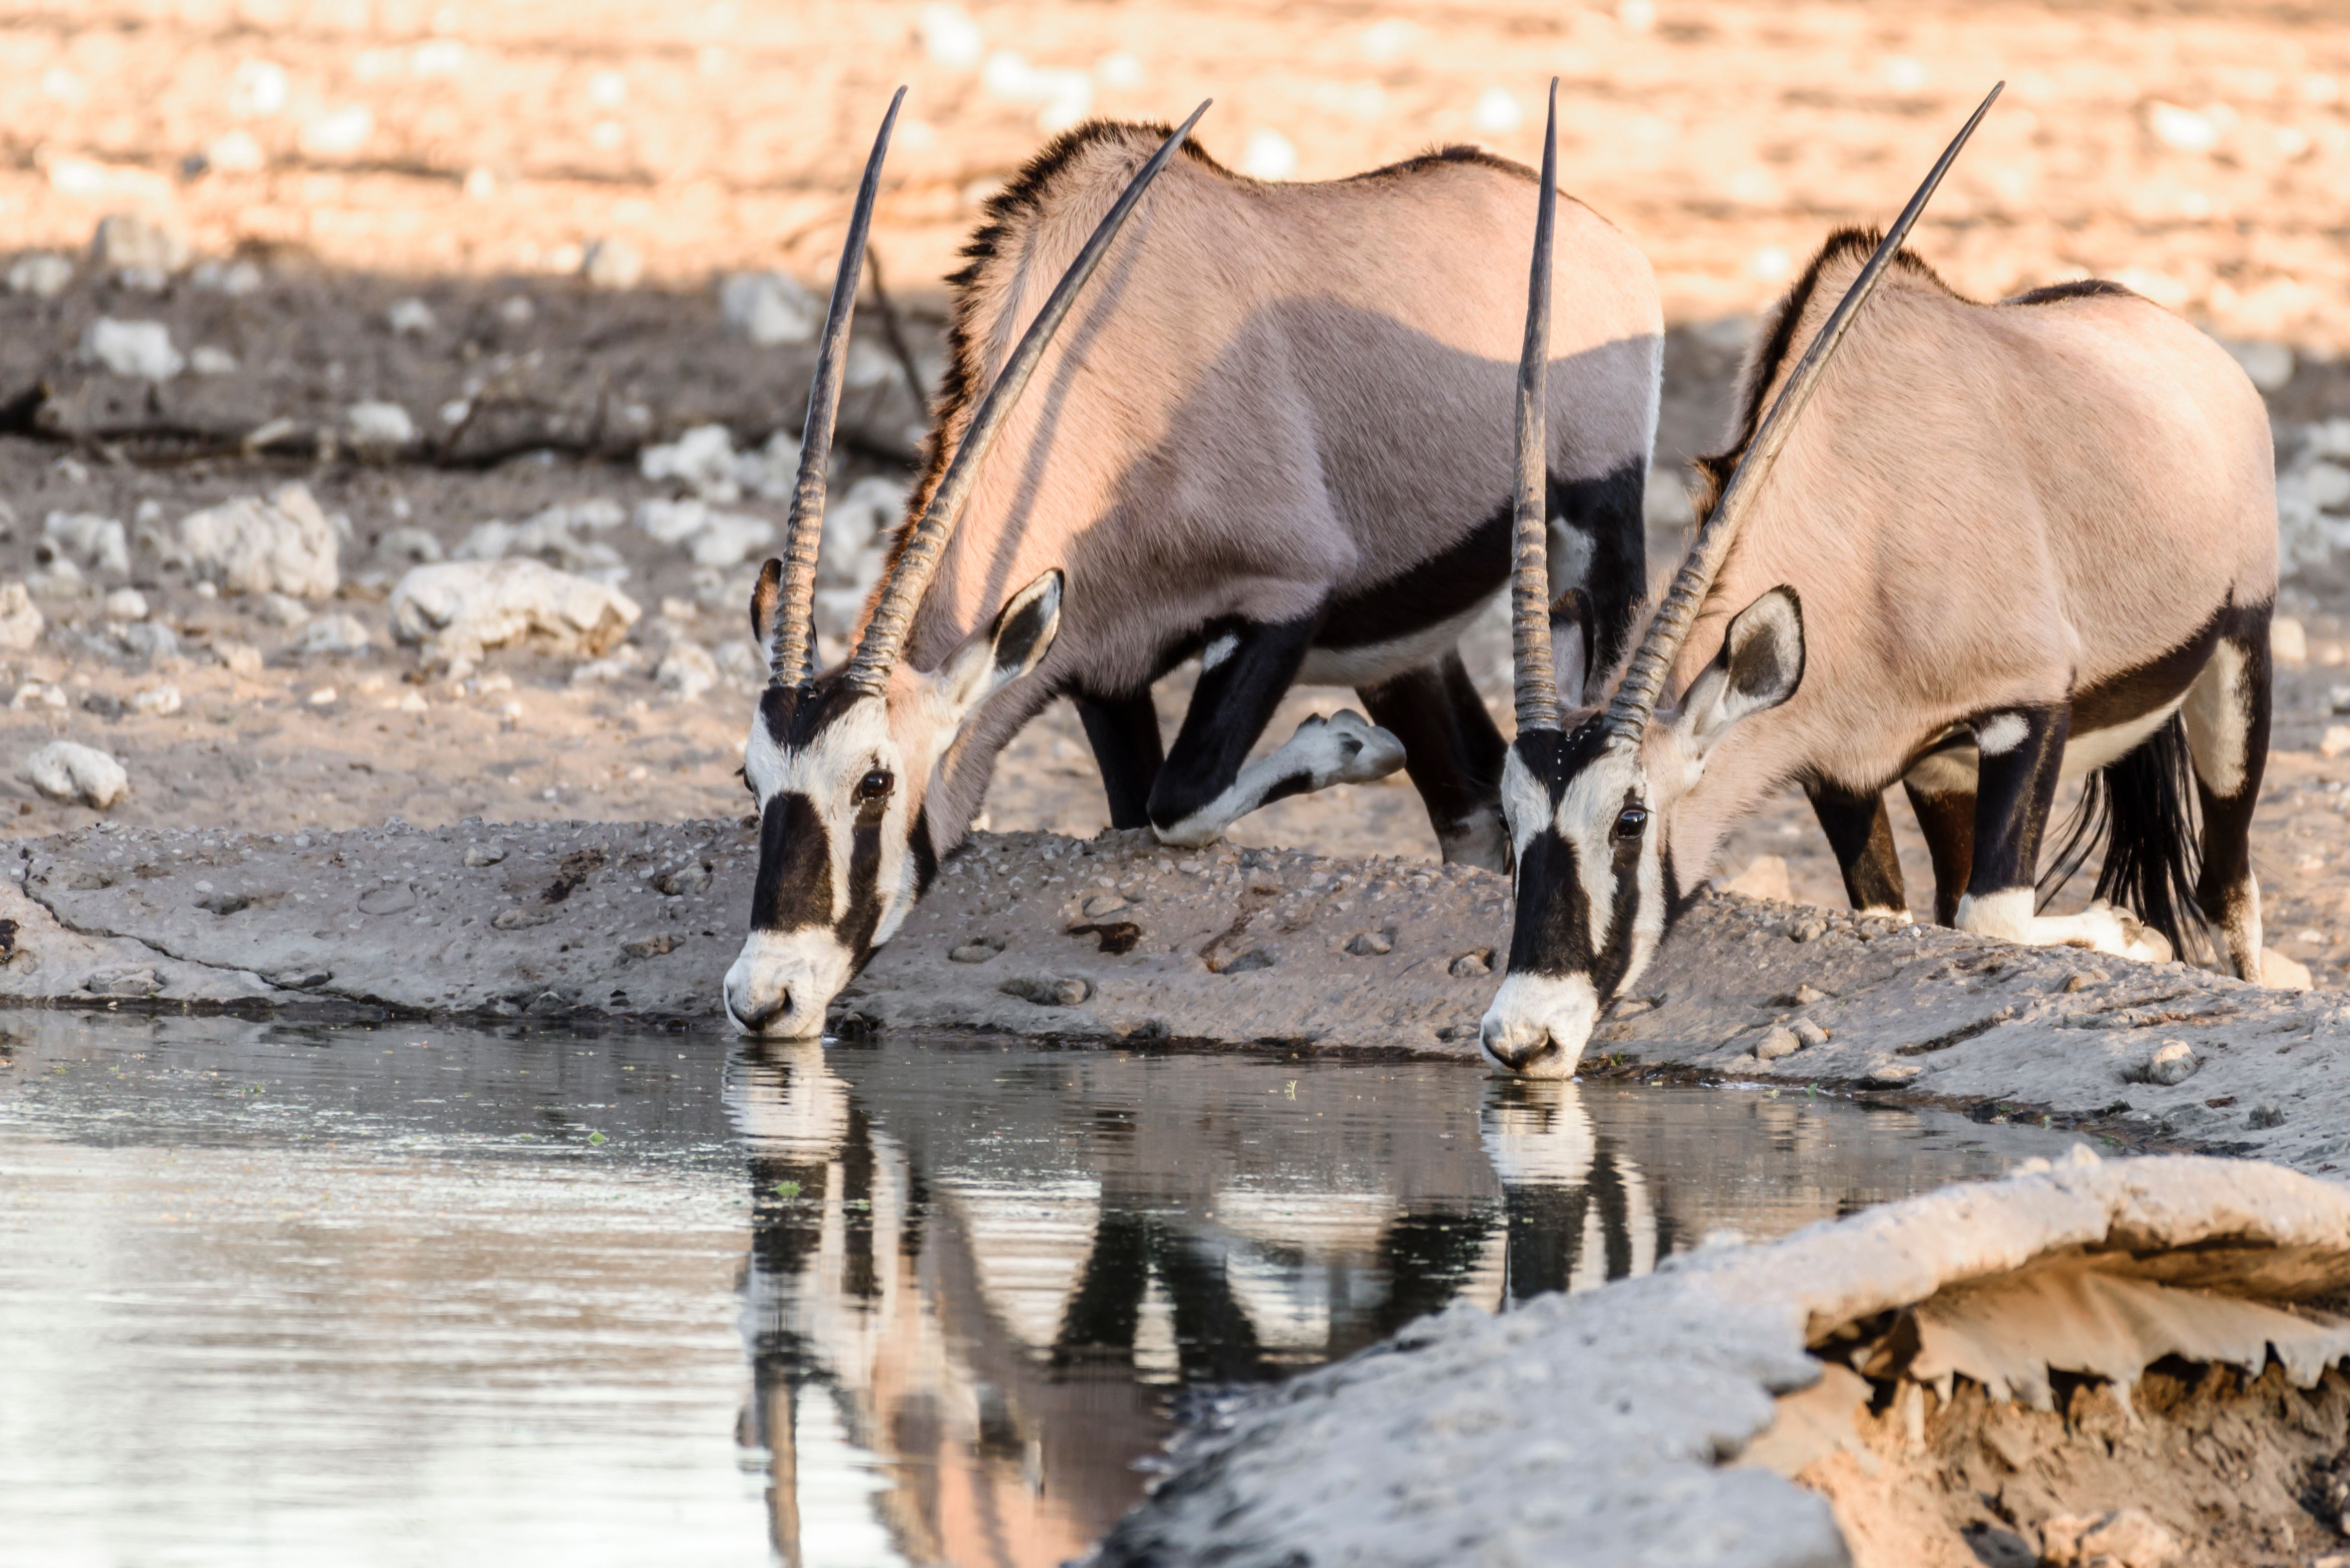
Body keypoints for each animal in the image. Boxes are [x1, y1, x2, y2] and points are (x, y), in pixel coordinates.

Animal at [725, 91, 1664, 1038]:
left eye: (874, 781)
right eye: (750, 777)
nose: (762, 995)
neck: (1099, 388)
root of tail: (1605, 238)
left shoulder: (1285, 596)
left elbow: (1179, 801)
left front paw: (1349, 744)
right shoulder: (1102, 669)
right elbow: (1133, 811)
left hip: (1596, 542)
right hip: (1405, 649)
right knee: (1471, 808)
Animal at [1480, 83, 2278, 1077]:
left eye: (1631, 818)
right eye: (1507, 819)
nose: (1523, 1037)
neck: (1862, 525)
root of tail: (2177, 335)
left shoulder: (2031, 705)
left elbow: (1993, 918)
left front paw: (2131, 938)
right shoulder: (1843, 771)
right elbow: (1902, 916)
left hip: (2236, 662)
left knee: (2226, 891)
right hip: (1945, 774)